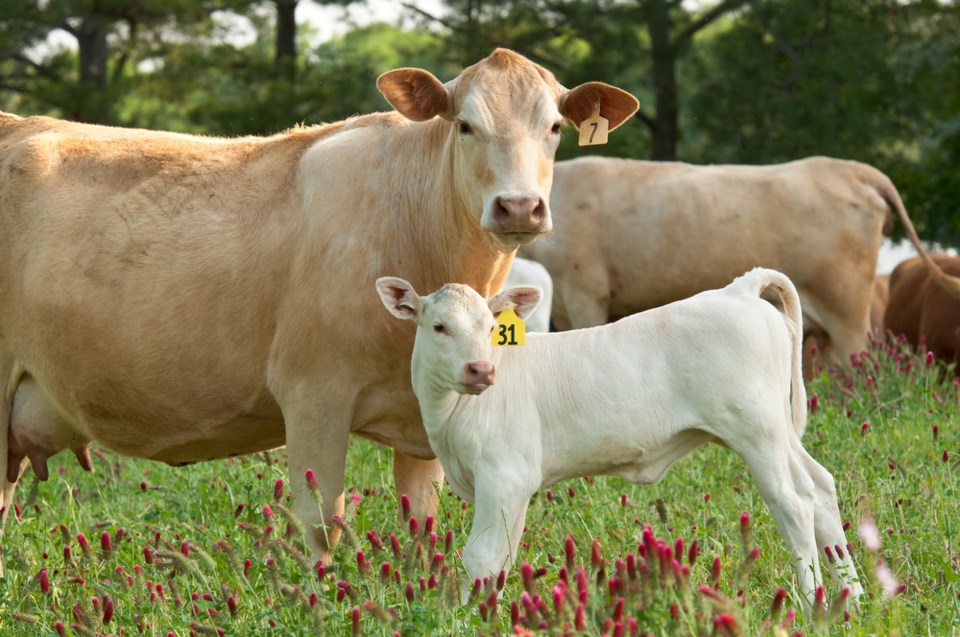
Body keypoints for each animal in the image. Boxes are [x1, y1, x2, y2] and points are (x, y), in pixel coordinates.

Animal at [0, 49, 640, 572]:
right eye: (465, 125)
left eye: (554, 127)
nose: (519, 207)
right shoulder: (313, 397)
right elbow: (322, 525)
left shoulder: (423, 427)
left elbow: (421, 528)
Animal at [376, 266, 864, 608]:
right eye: (439, 326)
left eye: (491, 327)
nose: (480, 369)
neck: (449, 416)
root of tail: (736, 290)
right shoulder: (510, 489)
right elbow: (500, 560)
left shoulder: (503, 475)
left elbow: (479, 558)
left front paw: (461, 616)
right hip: (777, 433)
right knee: (820, 489)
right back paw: (853, 600)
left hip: (756, 433)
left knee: (794, 505)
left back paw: (811, 606)